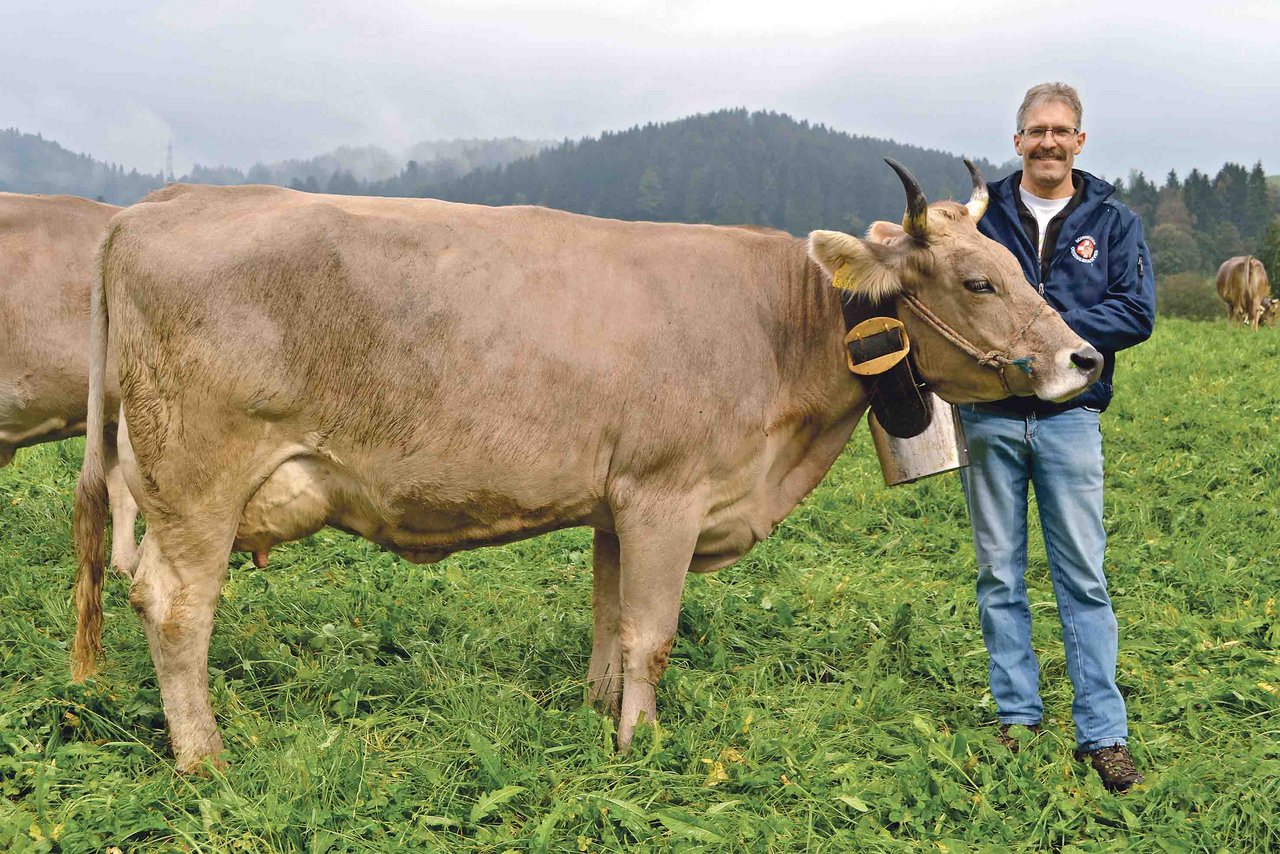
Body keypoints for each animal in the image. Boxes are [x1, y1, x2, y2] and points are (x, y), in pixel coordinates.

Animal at [72, 156, 1111, 773]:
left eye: (1019, 266)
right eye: (978, 281)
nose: (1083, 360)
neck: (783, 329)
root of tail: (162, 205)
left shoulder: (618, 505)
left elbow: (611, 626)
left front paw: (596, 718)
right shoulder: (666, 494)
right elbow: (652, 632)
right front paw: (639, 748)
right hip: (195, 479)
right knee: (174, 604)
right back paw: (203, 757)